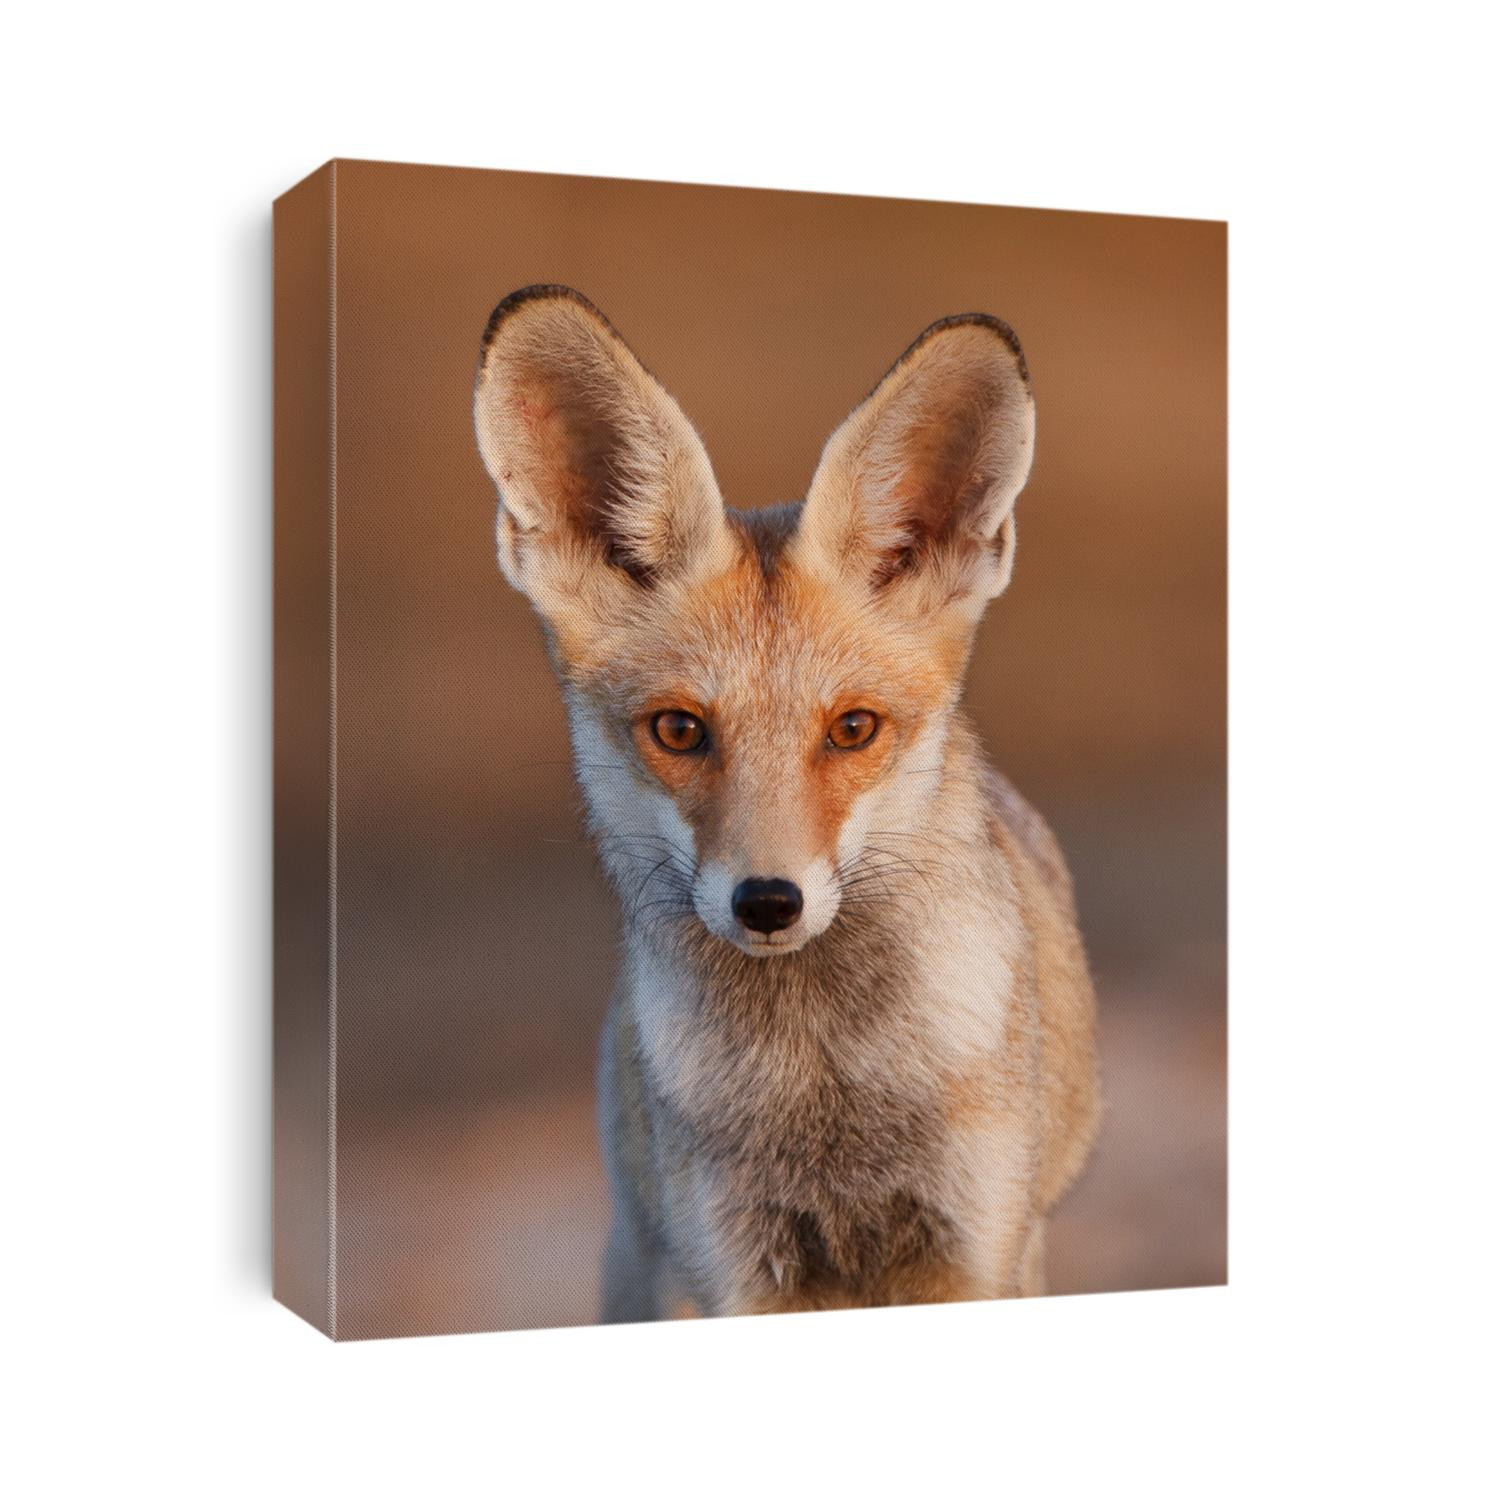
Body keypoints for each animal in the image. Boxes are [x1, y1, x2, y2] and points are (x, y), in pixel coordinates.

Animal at [473, 285, 1100, 1321]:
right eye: (679, 730)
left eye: (852, 729)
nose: (768, 902)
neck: (824, 1097)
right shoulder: (739, 1269)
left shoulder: (971, 1250)